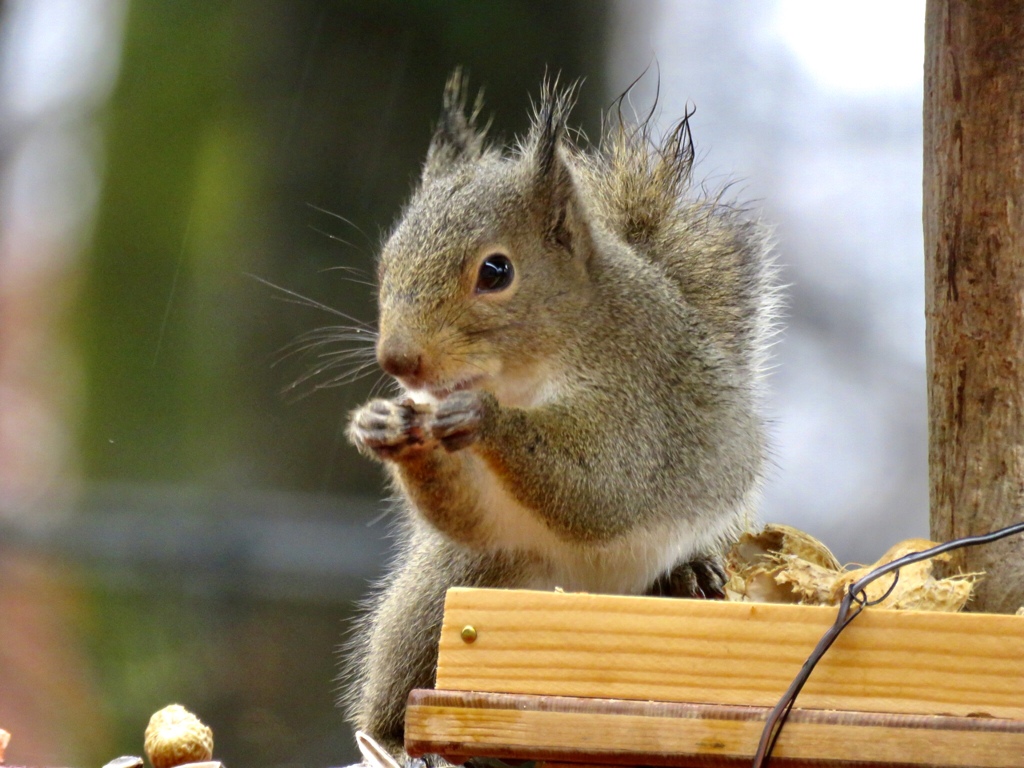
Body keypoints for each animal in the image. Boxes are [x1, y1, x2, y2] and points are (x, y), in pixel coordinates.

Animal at [342, 70, 774, 765]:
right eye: (386, 264)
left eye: (496, 271)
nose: (398, 361)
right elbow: (471, 516)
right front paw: (383, 428)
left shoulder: (641, 400)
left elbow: (601, 490)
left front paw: (486, 416)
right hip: (446, 594)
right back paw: (398, 742)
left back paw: (689, 571)